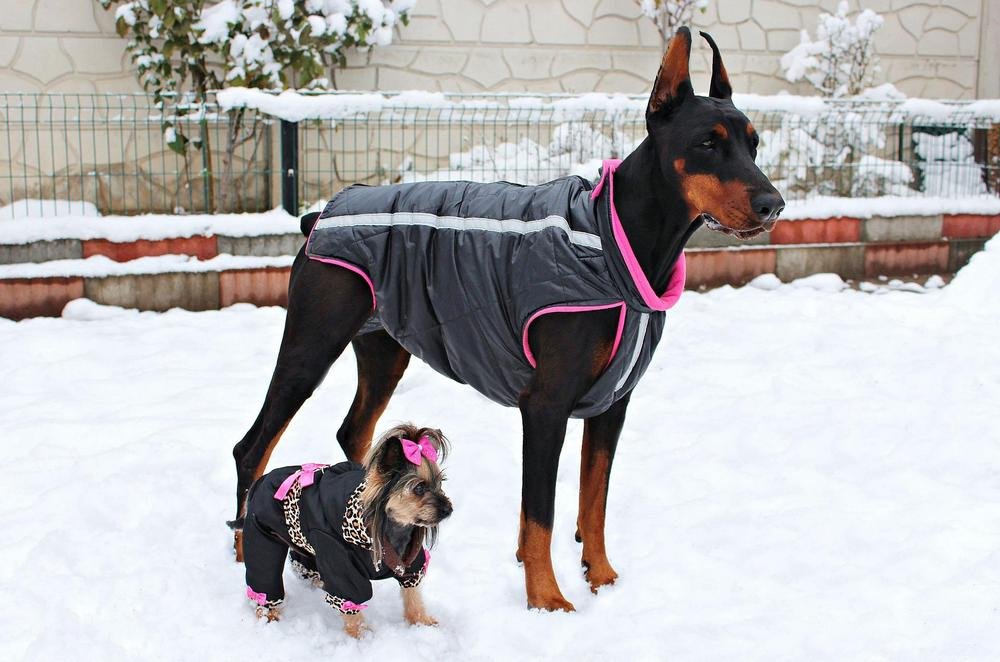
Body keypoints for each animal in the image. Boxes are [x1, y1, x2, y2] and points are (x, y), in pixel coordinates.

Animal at [232, 29, 780, 612]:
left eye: (753, 144)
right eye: (707, 143)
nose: (774, 204)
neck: (619, 239)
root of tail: (319, 214)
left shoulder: (613, 404)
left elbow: (594, 499)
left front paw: (601, 578)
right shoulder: (546, 405)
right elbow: (542, 513)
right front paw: (548, 600)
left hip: (384, 349)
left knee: (353, 431)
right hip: (312, 343)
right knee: (253, 446)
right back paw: (245, 550)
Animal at [240, 426, 452, 640]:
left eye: (440, 483)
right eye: (419, 488)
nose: (448, 509)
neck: (393, 528)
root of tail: (262, 480)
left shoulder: (410, 563)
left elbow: (413, 593)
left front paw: (421, 622)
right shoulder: (338, 559)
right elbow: (350, 600)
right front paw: (361, 635)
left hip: (304, 542)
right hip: (262, 534)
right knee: (264, 572)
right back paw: (268, 613)